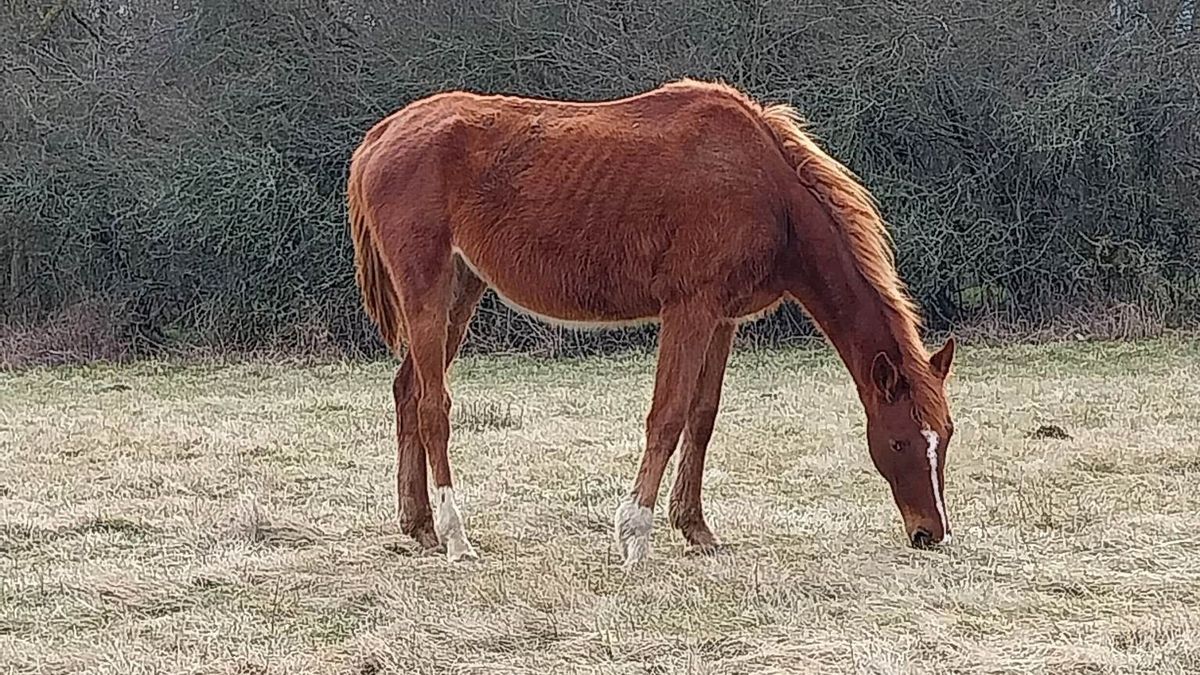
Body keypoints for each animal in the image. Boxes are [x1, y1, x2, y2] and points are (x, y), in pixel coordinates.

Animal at [348, 77, 955, 562]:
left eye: (945, 438)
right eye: (900, 442)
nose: (931, 535)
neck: (765, 186)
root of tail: (380, 136)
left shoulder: (723, 318)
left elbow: (702, 418)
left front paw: (697, 529)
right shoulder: (689, 308)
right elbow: (666, 416)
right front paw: (635, 534)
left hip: (463, 288)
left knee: (407, 391)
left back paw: (420, 528)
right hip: (428, 290)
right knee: (433, 406)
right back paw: (456, 537)